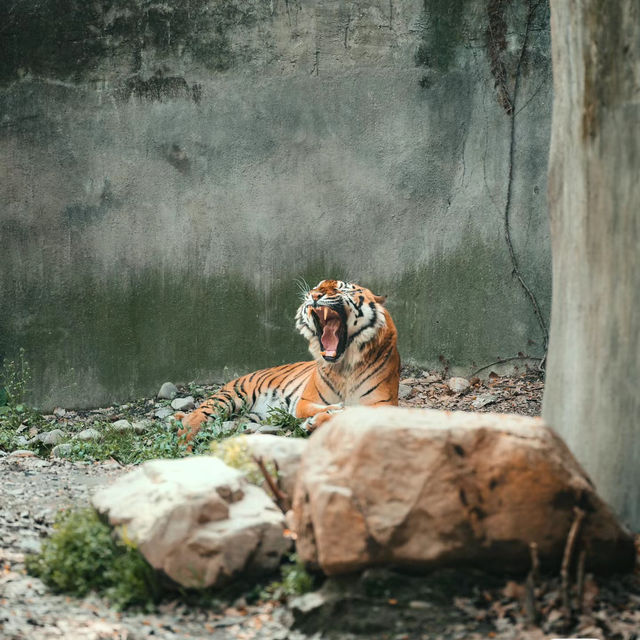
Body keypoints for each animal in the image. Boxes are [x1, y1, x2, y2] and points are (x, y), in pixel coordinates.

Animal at [178, 278, 400, 438]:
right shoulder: (306, 401)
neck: (343, 365)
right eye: (317, 286)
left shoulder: (384, 405)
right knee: (191, 421)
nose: (314, 295)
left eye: (341, 289)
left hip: (249, 418)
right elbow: (337, 409)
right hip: (228, 397)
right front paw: (320, 417)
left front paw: (316, 422)